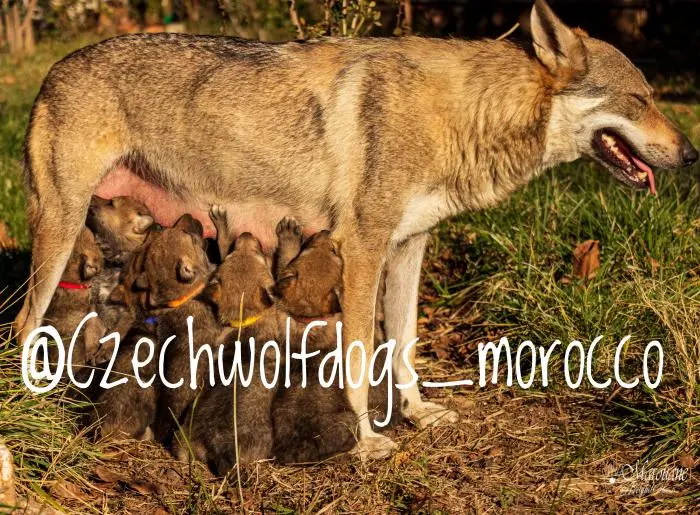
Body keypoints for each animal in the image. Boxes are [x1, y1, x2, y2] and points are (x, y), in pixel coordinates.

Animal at [14, 0, 697, 457]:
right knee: (24, 324)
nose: (691, 155)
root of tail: (51, 71)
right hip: (57, 232)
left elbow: (405, 345)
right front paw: (367, 439)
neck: (460, 114)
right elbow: (361, 358)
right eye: (640, 99)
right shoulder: (362, 249)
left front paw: (417, 414)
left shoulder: (409, 247)